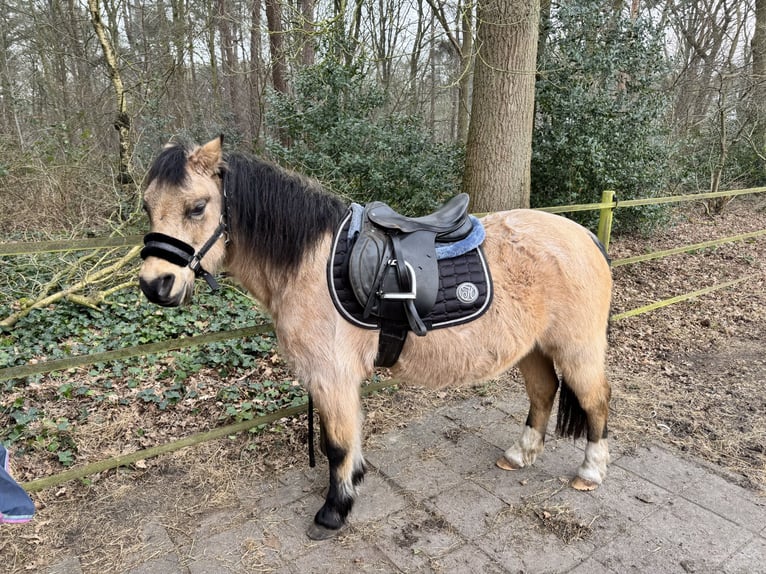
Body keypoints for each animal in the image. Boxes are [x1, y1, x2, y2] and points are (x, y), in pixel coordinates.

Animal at [138, 137, 616, 544]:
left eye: (198, 207)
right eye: (147, 206)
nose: (156, 285)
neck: (309, 263)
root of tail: (584, 235)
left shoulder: (332, 377)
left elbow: (337, 446)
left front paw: (333, 511)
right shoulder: (328, 379)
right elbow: (342, 443)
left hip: (577, 350)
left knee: (595, 400)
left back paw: (590, 472)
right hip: (532, 348)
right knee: (543, 393)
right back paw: (520, 454)